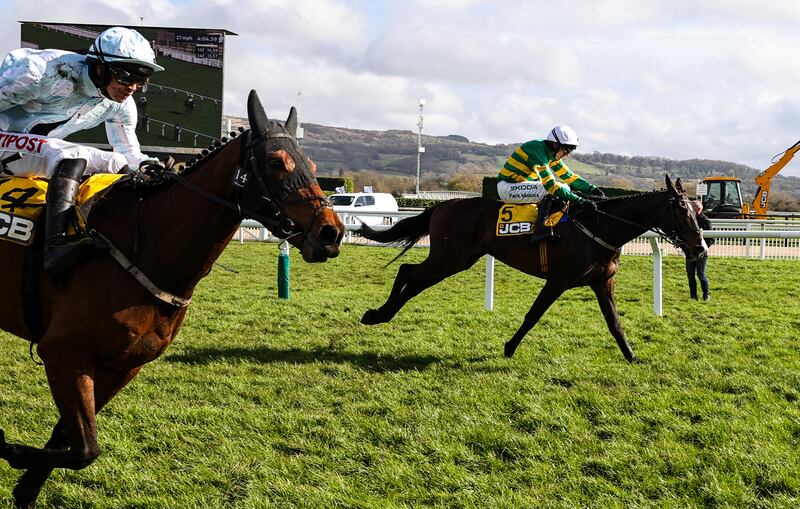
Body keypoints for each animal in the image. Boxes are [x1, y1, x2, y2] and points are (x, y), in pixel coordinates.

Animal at [0, 89, 344, 506]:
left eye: (312, 164)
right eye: (277, 162)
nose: (331, 233)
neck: (144, 247)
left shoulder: (122, 365)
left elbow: (71, 440)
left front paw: (26, 486)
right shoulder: (64, 353)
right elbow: (85, 449)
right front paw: (8, 449)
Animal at [360, 177, 704, 364]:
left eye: (697, 210)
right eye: (683, 210)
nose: (700, 247)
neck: (599, 226)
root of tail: (441, 206)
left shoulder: (602, 282)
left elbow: (615, 324)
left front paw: (632, 356)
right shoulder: (558, 280)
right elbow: (533, 315)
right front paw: (509, 347)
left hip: (456, 259)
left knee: (412, 278)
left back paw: (381, 314)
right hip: (450, 259)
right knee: (407, 272)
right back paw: (377, 314)